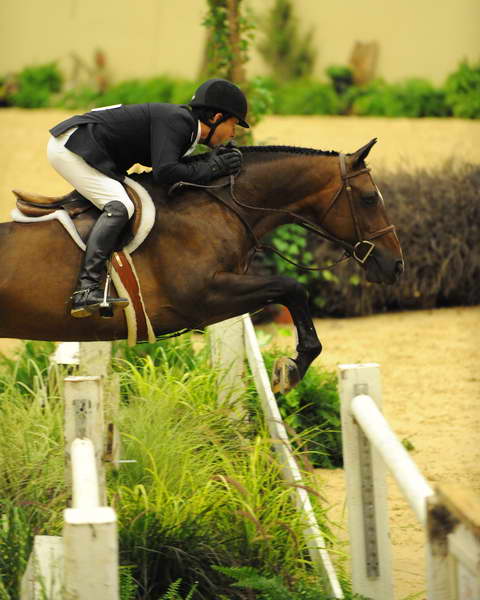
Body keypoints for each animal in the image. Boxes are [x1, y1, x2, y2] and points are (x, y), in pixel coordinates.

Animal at [5, 139, 402, 394]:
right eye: (370, 198)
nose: (396, 265)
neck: (219, 204)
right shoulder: (202, 298)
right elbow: (292, 287)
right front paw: (291, 369)